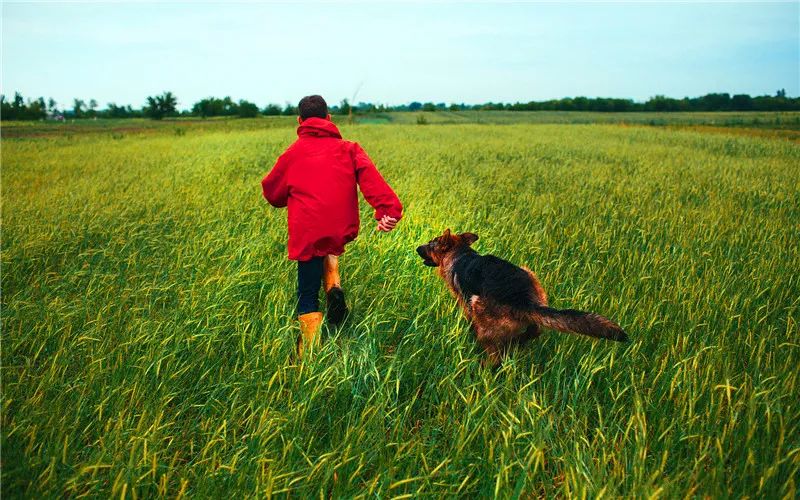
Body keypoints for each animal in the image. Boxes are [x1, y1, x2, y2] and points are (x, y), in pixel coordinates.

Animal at [416, 230, 628, 368]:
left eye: (431, 243)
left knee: (493, 354)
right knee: (533, 332)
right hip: (531, 279)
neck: (460, 253)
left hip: (479, 306)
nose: (417, 247)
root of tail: (523, 299)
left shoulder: (465, 303)